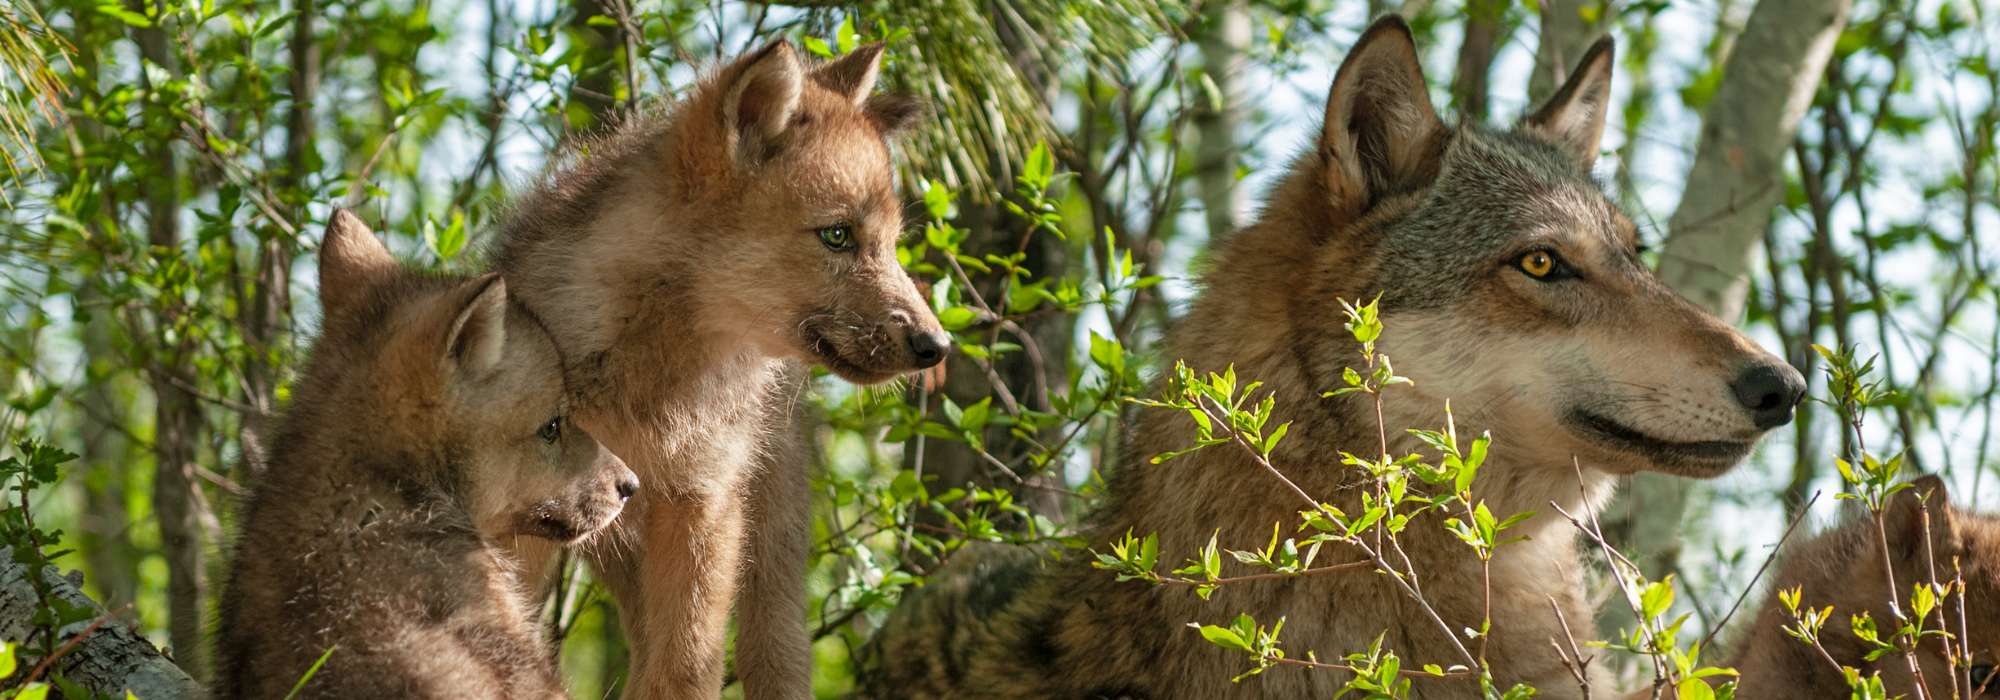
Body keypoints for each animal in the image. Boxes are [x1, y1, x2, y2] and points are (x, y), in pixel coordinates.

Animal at [488, 39, 948, 700]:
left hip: (767, 561)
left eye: (890, 245)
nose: (938, 345)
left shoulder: (703, 504)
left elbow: (687, 669)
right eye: (838, 236)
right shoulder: (527, 525)